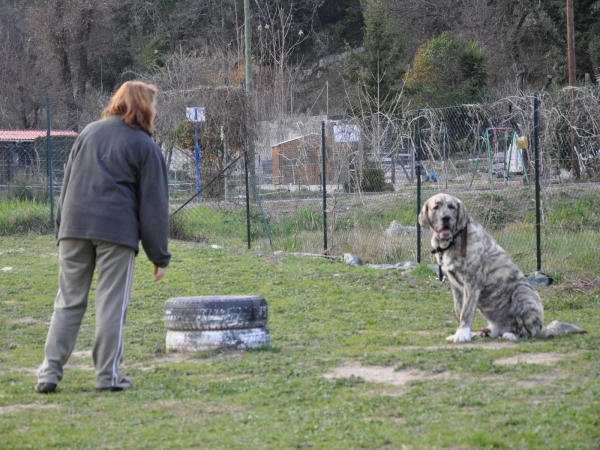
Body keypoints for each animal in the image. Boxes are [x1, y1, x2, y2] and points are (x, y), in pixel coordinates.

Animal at [418, 192, 584, 342]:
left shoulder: (472, 283)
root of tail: (544, 328)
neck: (453, 241)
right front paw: (459, 333)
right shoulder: (456, 287)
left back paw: (512, 335)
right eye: (436, 207)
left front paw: (462, 335)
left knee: (529, 332)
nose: (445, 218)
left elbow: (466, 312)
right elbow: (459, 311)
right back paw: (481, 333)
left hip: (522, 291)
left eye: (451, 207)